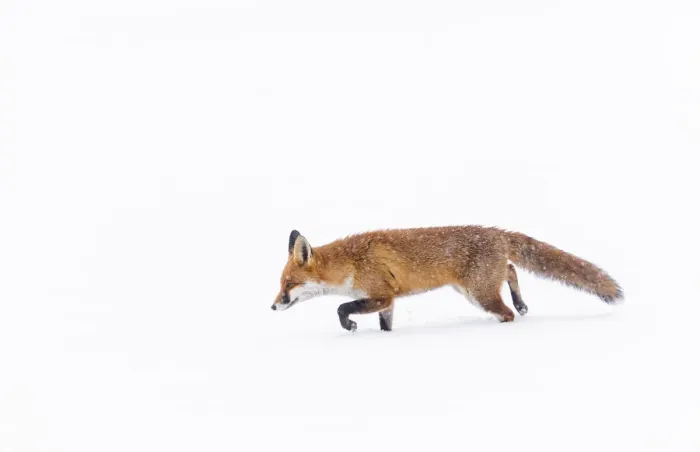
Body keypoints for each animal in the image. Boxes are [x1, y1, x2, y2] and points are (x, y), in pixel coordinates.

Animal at [271, 226, 623, 332]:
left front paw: (349, 326)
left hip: (479, 294)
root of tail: (498, 232)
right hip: (474, 287)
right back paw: (522, 303)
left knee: (506, 308)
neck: (352, 263)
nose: (273, 306)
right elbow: (386, 325)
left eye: (289, 285)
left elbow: (341, 307)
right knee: (511, 269)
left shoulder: (382, 294)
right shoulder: (388, 301)